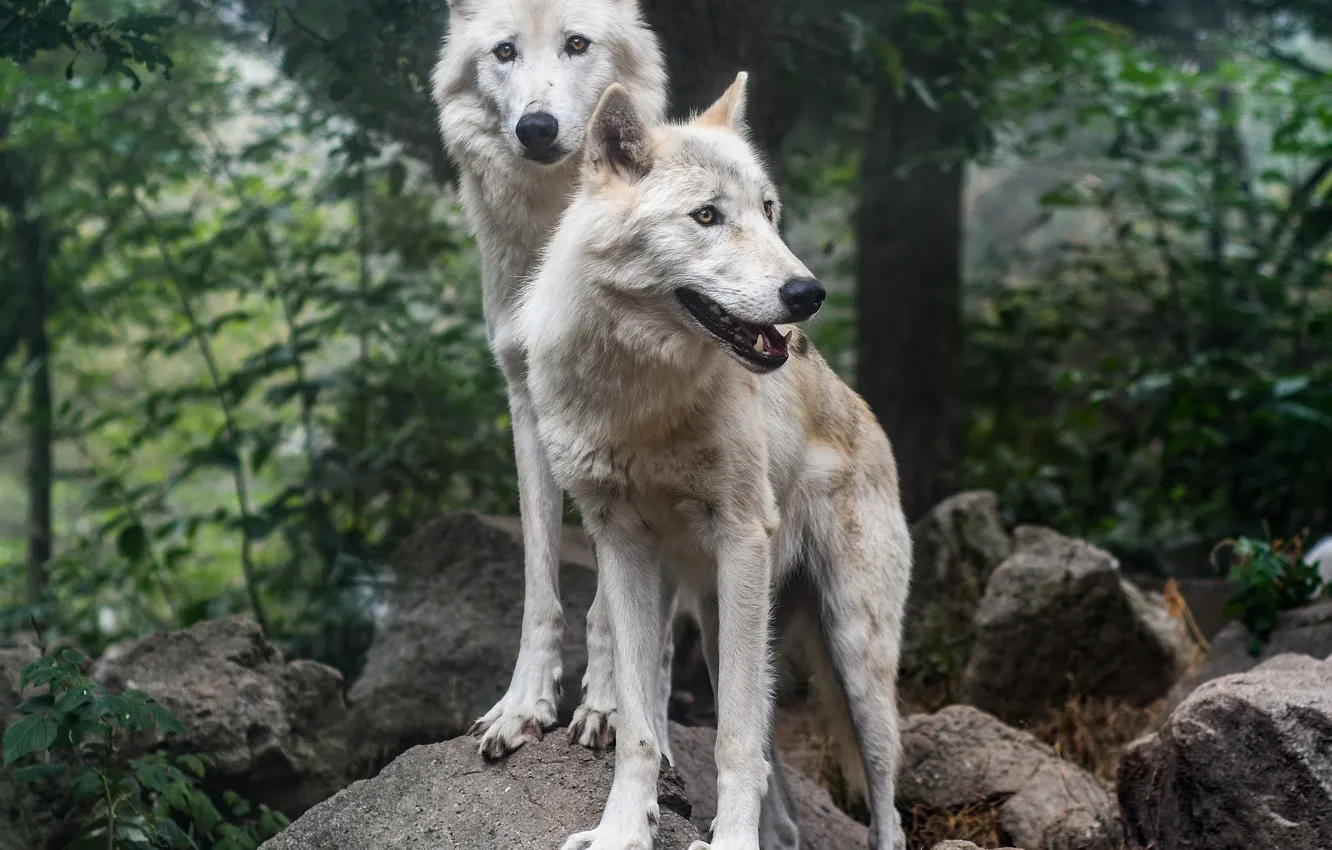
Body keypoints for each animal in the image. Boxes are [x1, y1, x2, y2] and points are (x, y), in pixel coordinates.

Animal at [431, 0, 669, 759]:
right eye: (505, 51)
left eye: (576, 43)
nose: (535, 127)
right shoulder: (528, 406)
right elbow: (541, 584)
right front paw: (523, 707)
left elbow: (611, 604)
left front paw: (608, 708)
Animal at [518, 74, 911, 850]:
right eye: (706, 216)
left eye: (768, 210)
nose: (808, 295)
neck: (642, 400)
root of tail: (865, 413)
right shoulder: (622, 546)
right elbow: (640, 724)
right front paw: (621, 830)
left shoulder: (740, 537)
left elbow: (731, 740)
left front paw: (728, 842)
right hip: (724, 624)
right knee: (774, 776)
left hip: (854, 655)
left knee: (884, 803)